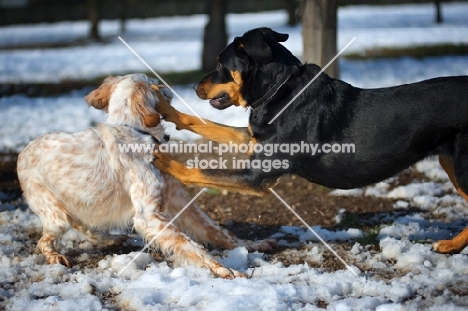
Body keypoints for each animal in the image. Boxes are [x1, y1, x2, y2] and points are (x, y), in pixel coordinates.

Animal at [17, 73, 274, 280]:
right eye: (153, 81)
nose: (168, 87)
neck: (136, 131)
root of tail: (22, 152)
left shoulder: (180, 201)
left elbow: (218, 231)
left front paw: (250, 244)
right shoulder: (149, 216)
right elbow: (193, 245)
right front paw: (225, 269)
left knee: (83, 226)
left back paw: (111, 239)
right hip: (56, 215)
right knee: (44, 241)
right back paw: (55, 256)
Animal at [154, 27, 468, 256]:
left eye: (221, 62)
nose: (195, 87)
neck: (279, 92)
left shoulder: (257, 175)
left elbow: (197, 171)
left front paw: (163, 159)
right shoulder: (253, 140)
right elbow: (208, 125)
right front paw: (169, 110)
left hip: (462, 169)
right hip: (451, 165)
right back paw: (452, 245)